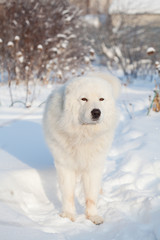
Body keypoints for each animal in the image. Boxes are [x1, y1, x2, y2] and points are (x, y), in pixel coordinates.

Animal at [42, 71, 120, 225]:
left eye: (101, 99)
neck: (83, 135)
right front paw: (68, 216)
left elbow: (91, 196)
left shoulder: (93, 166)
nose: (96, 112)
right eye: (84, 99)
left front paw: (93, 216)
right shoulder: (65, 166)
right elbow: (68, 194)